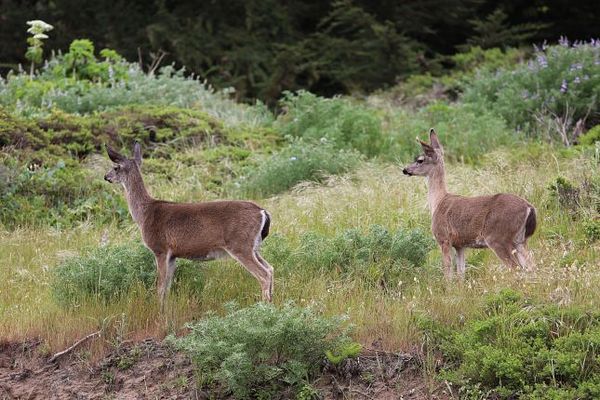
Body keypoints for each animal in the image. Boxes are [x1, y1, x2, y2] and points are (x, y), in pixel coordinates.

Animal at [105, 142, 274, 308]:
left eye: (116, 167)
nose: (106, 177)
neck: (144, 214)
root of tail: (262, 212)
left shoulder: (160, 248)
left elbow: (160, 287)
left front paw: (159, 312)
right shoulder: (172, 255)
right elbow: (167, 287)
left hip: (240, 245)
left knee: (263, 274)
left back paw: (265, 308)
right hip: (253, 247)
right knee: (270, 268)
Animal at [404, 130, 536, 280]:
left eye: (420, 160)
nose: (405, 169)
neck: (438, 202)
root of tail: (529, 207)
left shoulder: (443, 238)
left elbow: (448, 272)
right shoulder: (460, 245)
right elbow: (461, 273)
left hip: (499, 238)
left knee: (515, 267)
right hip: (520, 240)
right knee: (531, 266)